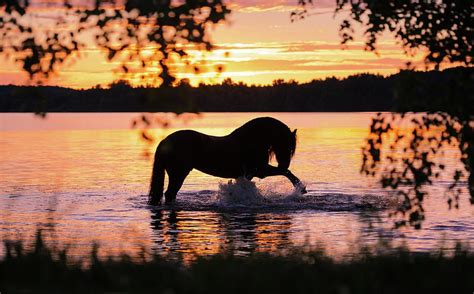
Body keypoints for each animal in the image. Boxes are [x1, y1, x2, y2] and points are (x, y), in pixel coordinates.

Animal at [148, 116, 308, 204]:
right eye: (287, 146)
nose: (284, 163)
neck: (251, 140)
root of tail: (165, 141)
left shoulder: (254, 173)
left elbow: (286, 172)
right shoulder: (259, 170)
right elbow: (287, 172)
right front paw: (301, 187)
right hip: (178, 174)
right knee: (170, 194)